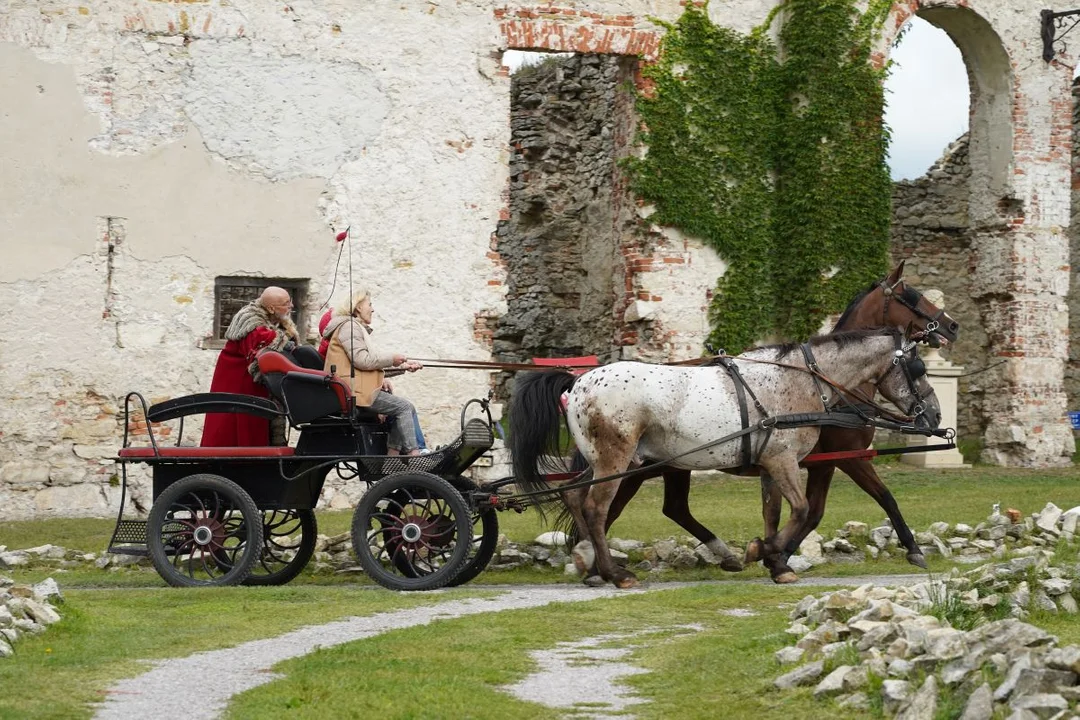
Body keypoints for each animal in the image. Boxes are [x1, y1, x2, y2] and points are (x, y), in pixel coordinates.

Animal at [587, 259, 959, 578]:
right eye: (912, 296)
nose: (952, 325)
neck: (828, 387)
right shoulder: (844, 458)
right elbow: (876, 499)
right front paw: (912, 548)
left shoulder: (814, 462)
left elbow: (798, 512)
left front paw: (775, 555)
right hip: (643, 464)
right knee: (606, 505)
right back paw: (599, 565)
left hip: (668, 466)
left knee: (666, 507)